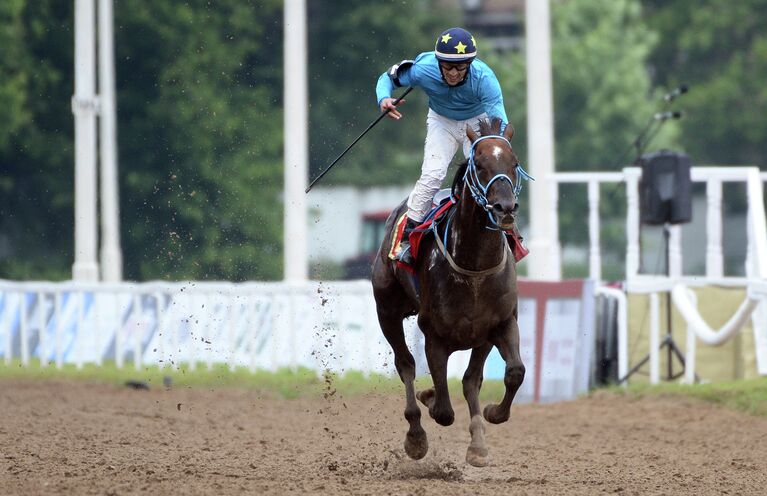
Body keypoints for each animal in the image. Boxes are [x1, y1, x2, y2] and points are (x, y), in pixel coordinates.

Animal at [372, 118, 528, 466]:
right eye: (479, 165)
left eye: (514, 163)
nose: (505, 208)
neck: (473, 266)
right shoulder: (434, 334)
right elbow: (443, 409)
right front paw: (428, 399)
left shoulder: (502, 323)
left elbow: (514, 372)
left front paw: (493, 414)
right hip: (386, 309)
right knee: (406, 364)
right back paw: (416, 434)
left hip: (480, 337)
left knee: (471, 380)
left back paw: (478, 443)